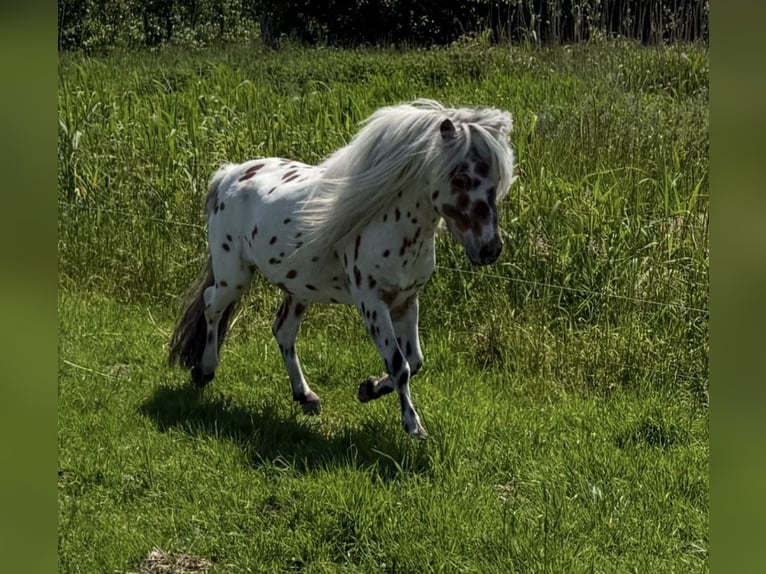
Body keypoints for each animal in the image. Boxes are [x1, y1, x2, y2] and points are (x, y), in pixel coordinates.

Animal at [168, 99, 515, 438]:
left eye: (496, 180)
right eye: (460, 178)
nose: (489, 249)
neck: (391, 222)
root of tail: (229, 174)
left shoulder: (406, 300)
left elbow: (414, 361)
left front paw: (368, 389)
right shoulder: (372, 303)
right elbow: (399, 364)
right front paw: (413, 425)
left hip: (298, 289)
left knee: (283, 330)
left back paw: (306, 397)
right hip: (234, 275)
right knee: (212, 306)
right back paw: (204, 370)